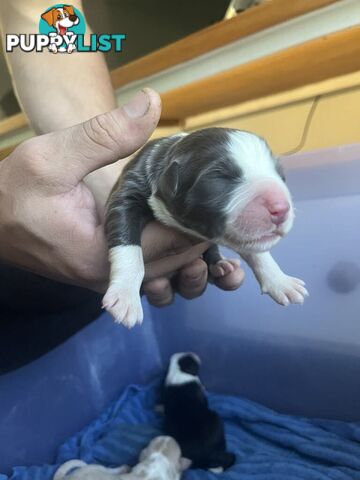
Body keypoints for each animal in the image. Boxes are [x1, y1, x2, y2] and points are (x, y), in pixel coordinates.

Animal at [105, 127, 310, 326]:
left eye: (281, 175)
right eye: (220, 177)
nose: (281, 208)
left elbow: (259, 254)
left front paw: (281, 282)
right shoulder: (128, 192)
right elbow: (128, 247)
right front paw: (125, 296)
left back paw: (221, 264)